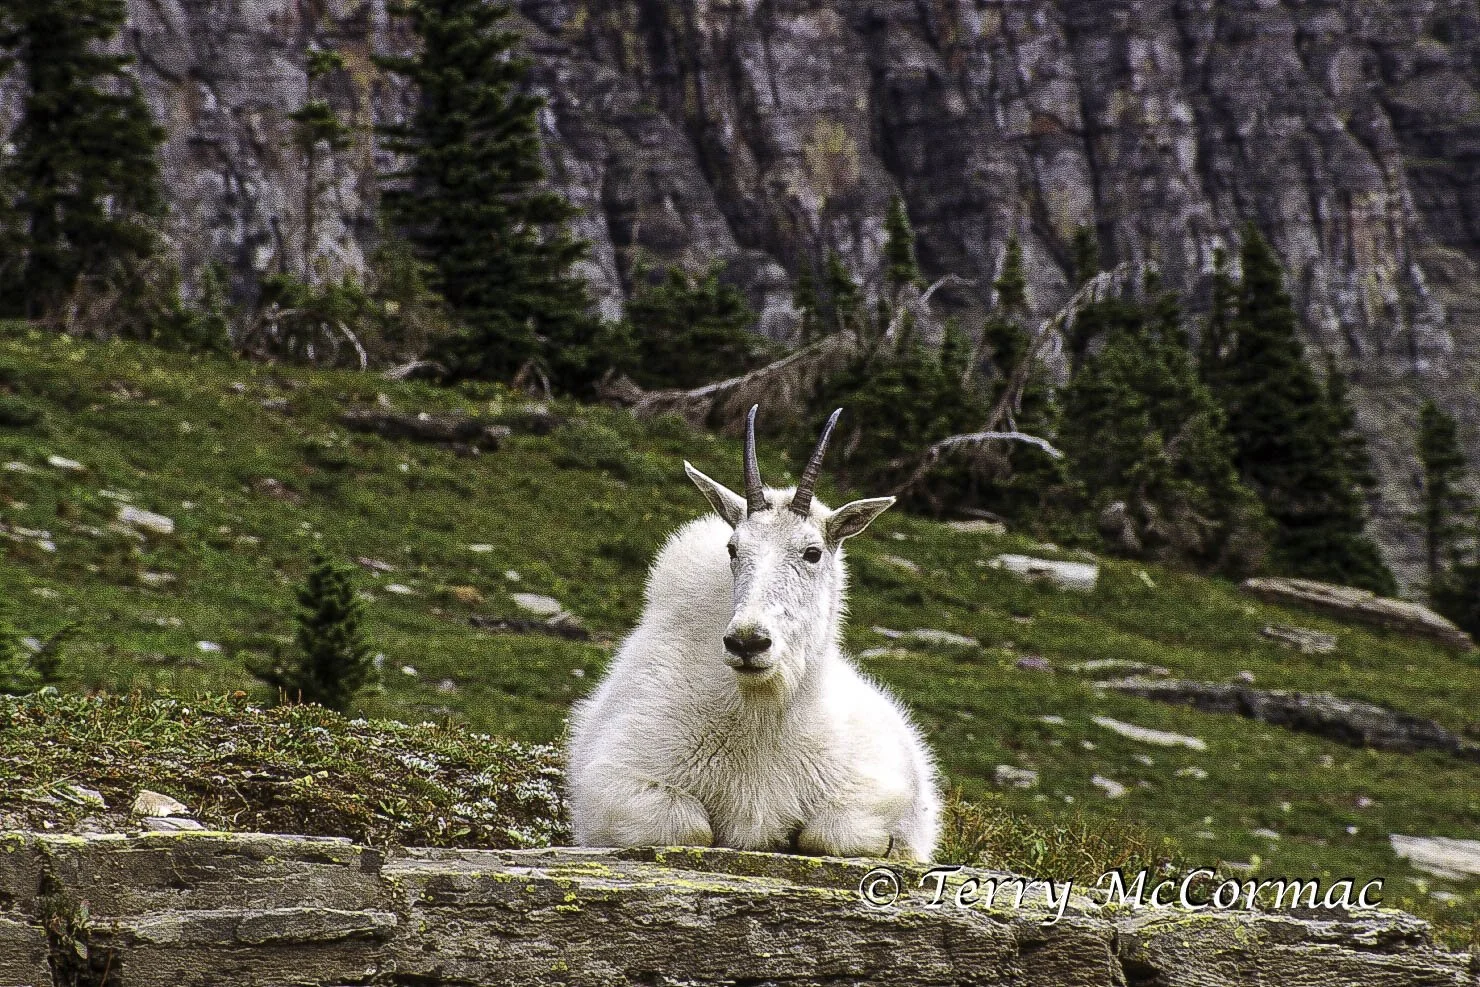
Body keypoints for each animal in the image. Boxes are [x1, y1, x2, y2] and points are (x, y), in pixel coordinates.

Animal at [566, 406, 941, 860]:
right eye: (733, 548)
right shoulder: (619, 783)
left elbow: (828, 834)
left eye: (812, 552)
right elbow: (692, 829)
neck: (761, 713)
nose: (747, 642)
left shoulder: (872, 790)